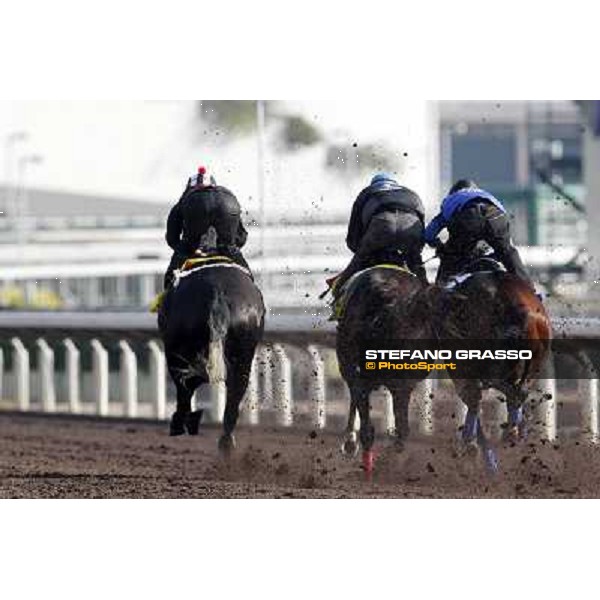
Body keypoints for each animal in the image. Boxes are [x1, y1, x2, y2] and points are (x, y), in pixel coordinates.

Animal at [158, 264, 264, 452]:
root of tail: (218, 294)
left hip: (179, 348)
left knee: (184, 385)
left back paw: (182, 424)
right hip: (242, 352)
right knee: (236, 390)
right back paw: (226, 442)